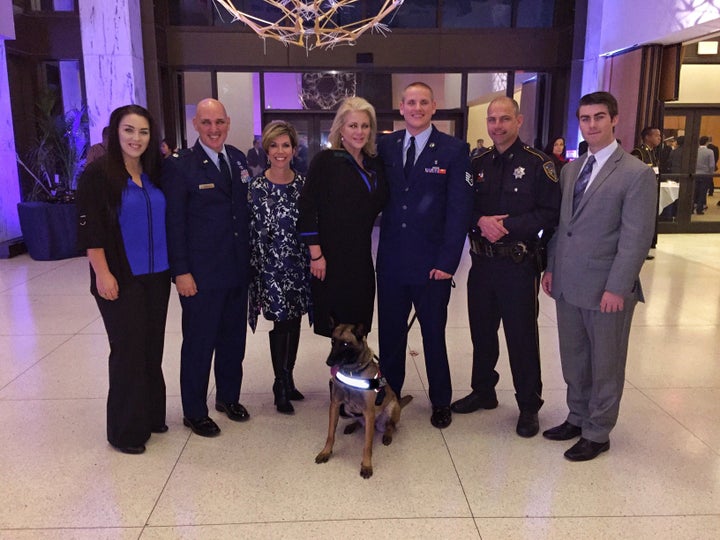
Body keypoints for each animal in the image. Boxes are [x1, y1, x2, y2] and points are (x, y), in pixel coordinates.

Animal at [314, 322, 410, 478]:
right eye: (333, 341)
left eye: (345, 344)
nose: (329, 362)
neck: (352, 373)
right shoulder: (335, 405)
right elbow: (330, 435)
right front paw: (326, 452)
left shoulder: (369, 412)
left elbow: (367, 445)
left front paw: (366, 465)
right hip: (349, 410)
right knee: (360, 422)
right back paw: (352, 425)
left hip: (392, 407)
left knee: (391, 426)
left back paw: (387, 435)